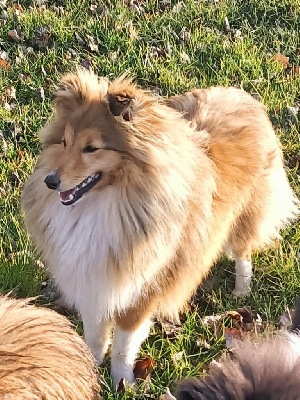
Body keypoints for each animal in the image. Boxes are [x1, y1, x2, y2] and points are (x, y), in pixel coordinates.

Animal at [20, 68, 298, 384]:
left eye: (91, 148)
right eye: (64, 142)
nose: (50, 181)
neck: (107, 201)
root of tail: (243, 96)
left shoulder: (140, 292)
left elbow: (124, 345)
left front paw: (122, 383)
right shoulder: (94, 282)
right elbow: (95, 335)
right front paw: (88, 368)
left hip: (247, 213)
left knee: (243, 252)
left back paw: (241, 290)